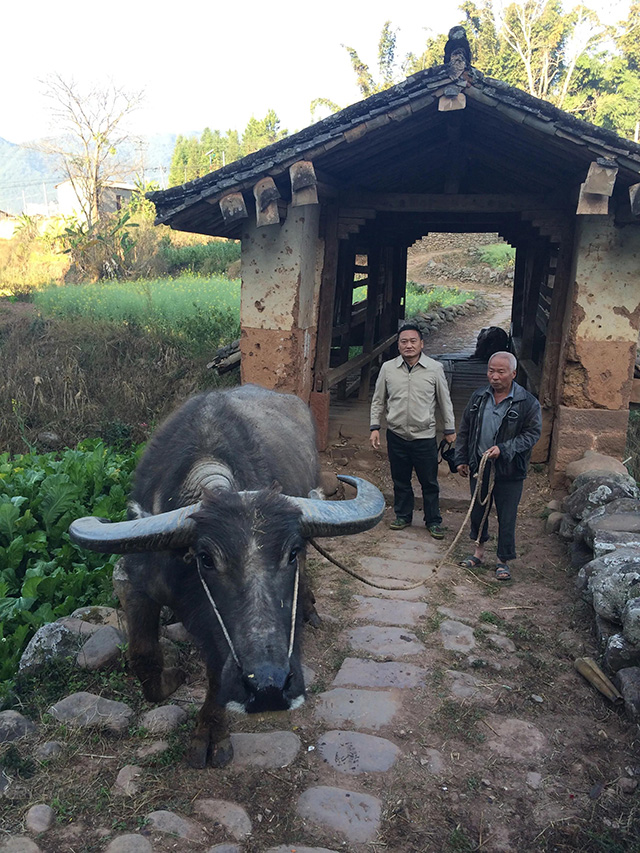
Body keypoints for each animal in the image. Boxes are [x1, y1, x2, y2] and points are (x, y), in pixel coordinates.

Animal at [70, 386, 382, 764]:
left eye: (290, 553)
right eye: (205, 558)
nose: (270, 687)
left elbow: (216, 673)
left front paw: (209, 734)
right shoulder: (135, 584)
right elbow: (143, 656)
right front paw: (173, 677)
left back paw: (308, 609)